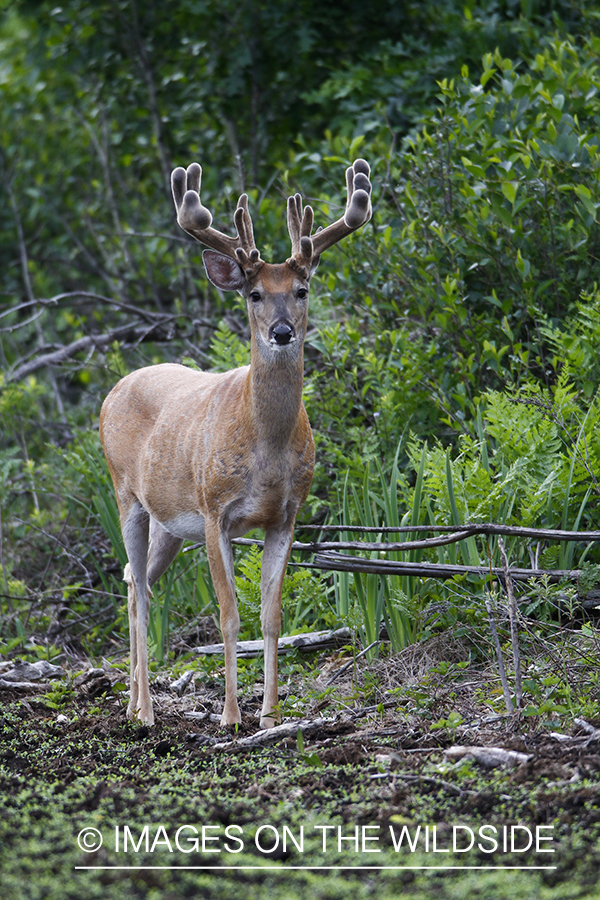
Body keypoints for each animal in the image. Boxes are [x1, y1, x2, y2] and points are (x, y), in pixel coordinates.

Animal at [99, 158, 370, 728]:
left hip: (168, 524)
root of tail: (115, 389)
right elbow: (227, 614)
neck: (264, 449)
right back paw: (146, 711)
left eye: (302, 289)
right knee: (139, 587)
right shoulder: (214, 510)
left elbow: (271, 616)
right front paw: (230, 715)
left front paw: (270, 713)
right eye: (254, 293)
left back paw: (134, 702)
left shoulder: (287, 515)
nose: (283, 332)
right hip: (126, 495)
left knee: (137, 581)